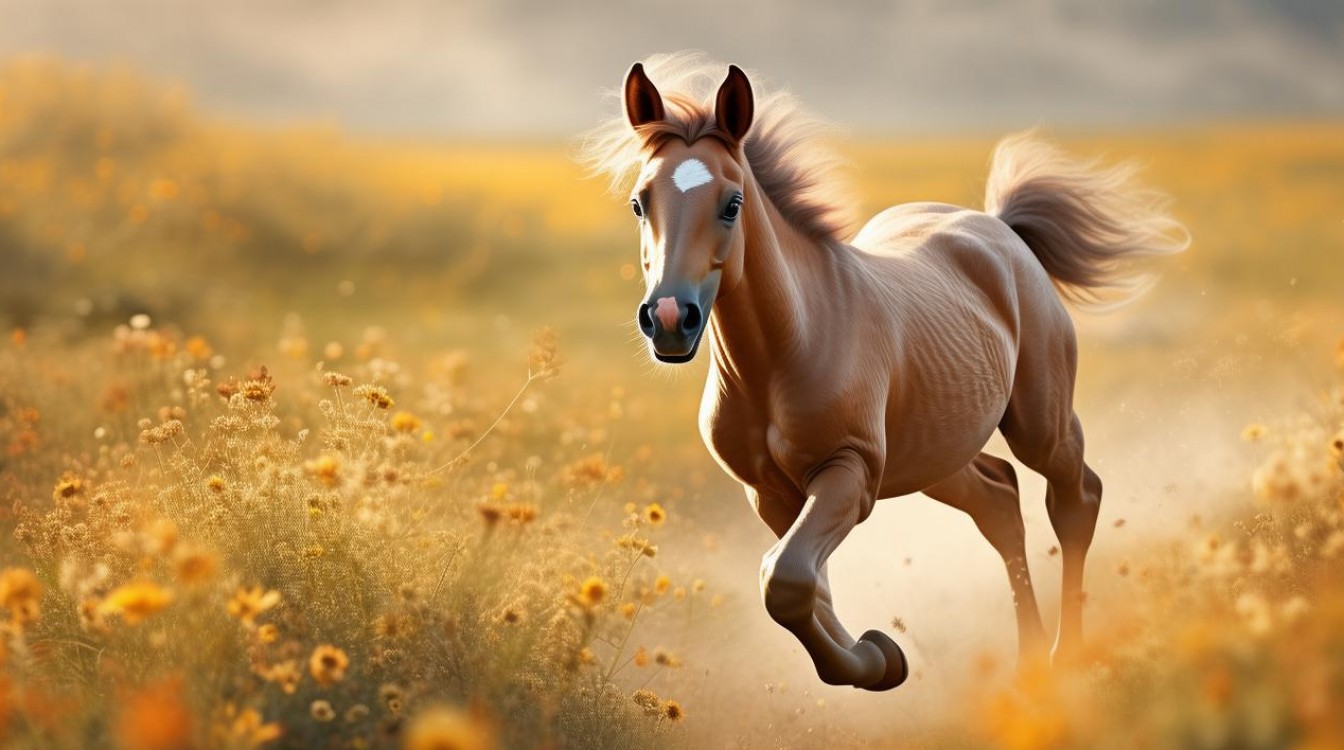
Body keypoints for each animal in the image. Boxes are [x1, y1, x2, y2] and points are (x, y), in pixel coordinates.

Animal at [582, 53, 1187, 691]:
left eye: (732, 203)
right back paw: (1028, 662)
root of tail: (1001, 228)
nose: (670, 318)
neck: (787, 350)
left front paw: (878, 659)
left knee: (1076, 498)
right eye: (639, 202)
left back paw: (1066, 654)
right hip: (935, 453)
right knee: (999, 502)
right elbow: (805, 585)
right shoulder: (768, 493)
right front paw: (881, 657)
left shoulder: (851, 472)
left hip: (1037, 423)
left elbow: (787, 579)